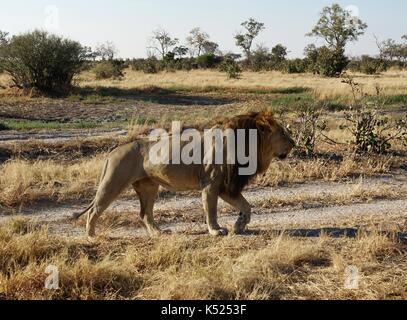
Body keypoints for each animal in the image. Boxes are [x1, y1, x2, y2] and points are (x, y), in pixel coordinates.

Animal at [73, 111, 294, 236]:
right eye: (283, 133)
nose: (294, 143)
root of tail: (113, 150)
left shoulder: (225, 186)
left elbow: (246, 206)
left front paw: (239, 226)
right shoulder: (211, 184)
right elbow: (211, 210)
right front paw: (216, 230)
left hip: (149, 187)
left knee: (145, 213)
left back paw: (159, 233)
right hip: (113, 183)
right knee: (94, 210)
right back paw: (91, 235)